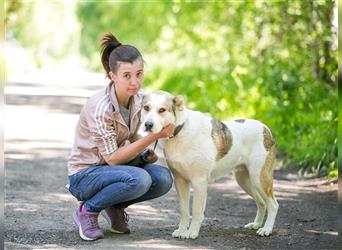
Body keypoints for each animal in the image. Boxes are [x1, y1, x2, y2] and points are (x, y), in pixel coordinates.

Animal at [139, 91, 278, 239]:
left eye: (162, 110)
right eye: (146, 108)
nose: (148, 125)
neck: (181, 131)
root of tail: (266, 128)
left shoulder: (199, 182)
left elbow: (196, 211)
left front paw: (192, 232)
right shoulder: (180, 181)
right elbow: (184, 210)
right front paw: (182, 230)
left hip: (259, 178)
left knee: (273, 205)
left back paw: (266, 229)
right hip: (245, 180)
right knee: (262, 202)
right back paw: (256, 224)